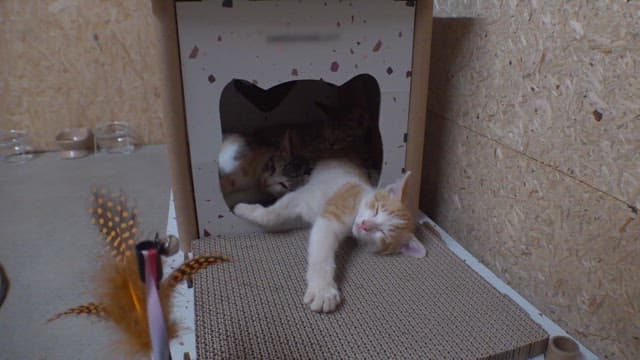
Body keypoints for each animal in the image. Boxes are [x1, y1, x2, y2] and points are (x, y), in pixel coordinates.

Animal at [234, 159, 424, 314]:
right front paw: (323, 290)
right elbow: (274, 215)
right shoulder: (309, 201)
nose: (365, 225)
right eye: (377, 209)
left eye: (382, 233)